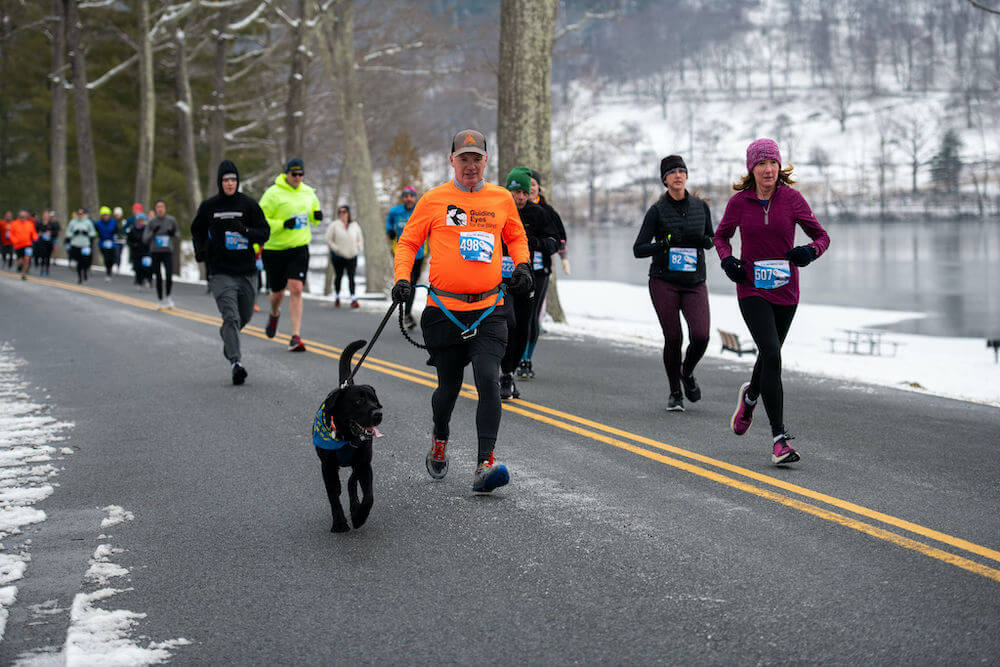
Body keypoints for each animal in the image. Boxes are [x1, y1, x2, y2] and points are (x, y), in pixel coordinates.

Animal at [314, 340, 384, 532]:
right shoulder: (328, 467)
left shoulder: (364, 464)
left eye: (374, 400)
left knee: (352, 482)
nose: (378, 414)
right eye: (358, 401)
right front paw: (339, 522)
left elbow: (369, 496)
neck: (345, 437)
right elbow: (333, 495)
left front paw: (359, 517)